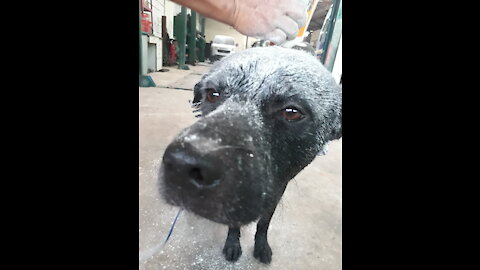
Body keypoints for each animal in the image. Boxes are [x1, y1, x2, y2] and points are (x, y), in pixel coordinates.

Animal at [158, 46, 342, 264]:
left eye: (291, 112)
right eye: (212, 94)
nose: (182, 165)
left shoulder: (276, 194)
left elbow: (263, 224)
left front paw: (261, 245)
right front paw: (232, 243)